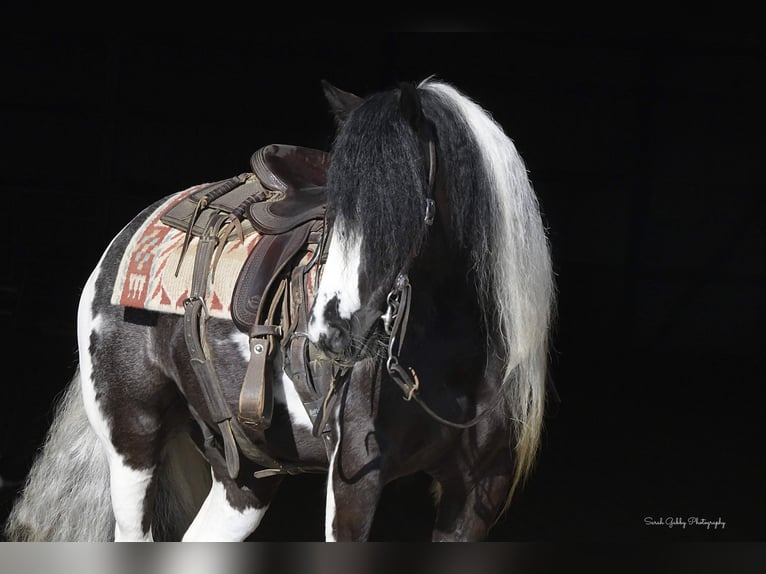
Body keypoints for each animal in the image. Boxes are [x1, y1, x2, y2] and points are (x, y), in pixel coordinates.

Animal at [6, 77, 560, 544]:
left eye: (400, 204)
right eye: (336, 209)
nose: (329, 331)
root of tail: (124, 240)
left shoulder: (477, 492)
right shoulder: (353, 484)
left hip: (244, 472)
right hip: (131, 444)